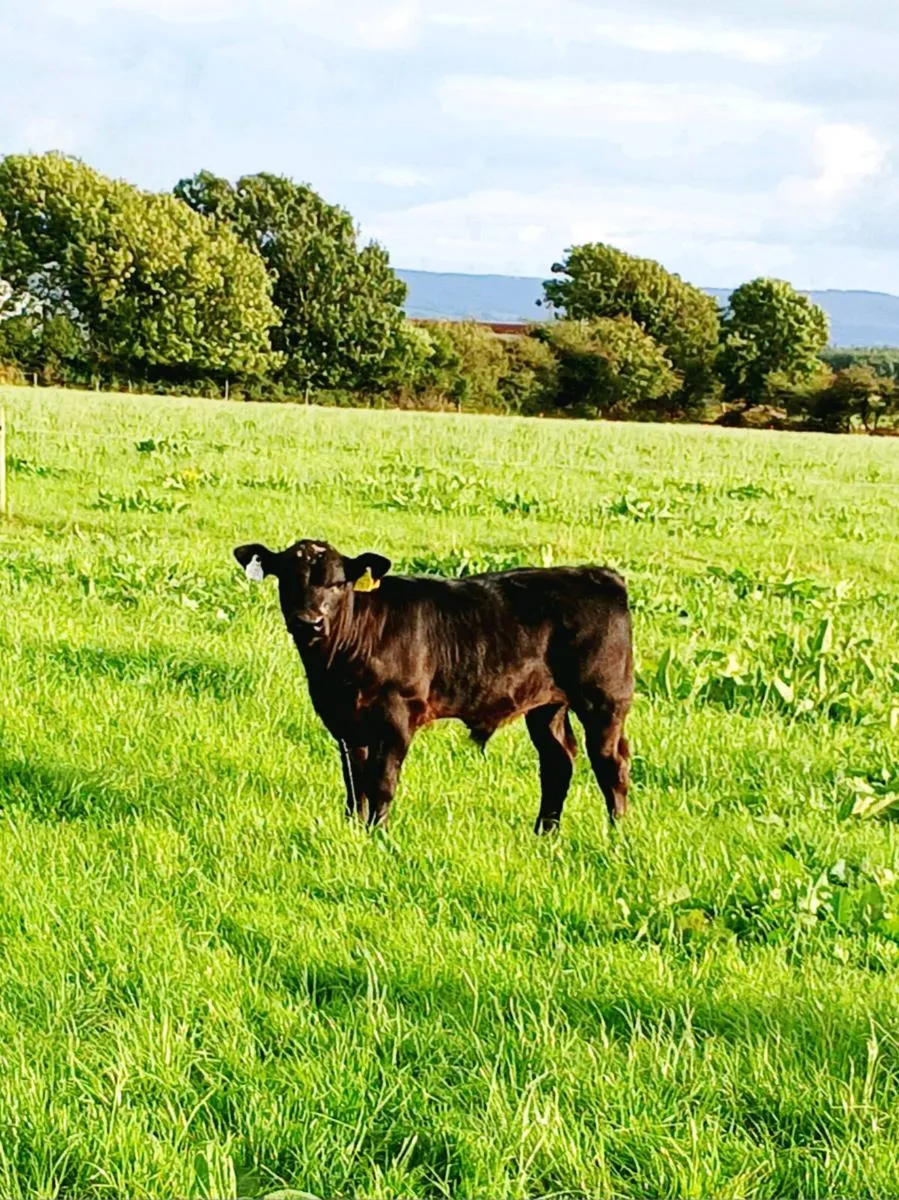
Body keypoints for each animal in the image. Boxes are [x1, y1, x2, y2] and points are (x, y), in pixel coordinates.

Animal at [234, 539, 633, 833]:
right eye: (287, 579)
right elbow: (354, 782)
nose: (309, 621)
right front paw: (354, 829)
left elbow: (381, 781)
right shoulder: (344, 722)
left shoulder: (397, 715)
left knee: (611, 763)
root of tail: (595, 574)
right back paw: (545, 833)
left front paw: (378, 834)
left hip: (604, 699)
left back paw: (616, 833)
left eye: (337, 583)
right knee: (557, 762)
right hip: (546, 705)